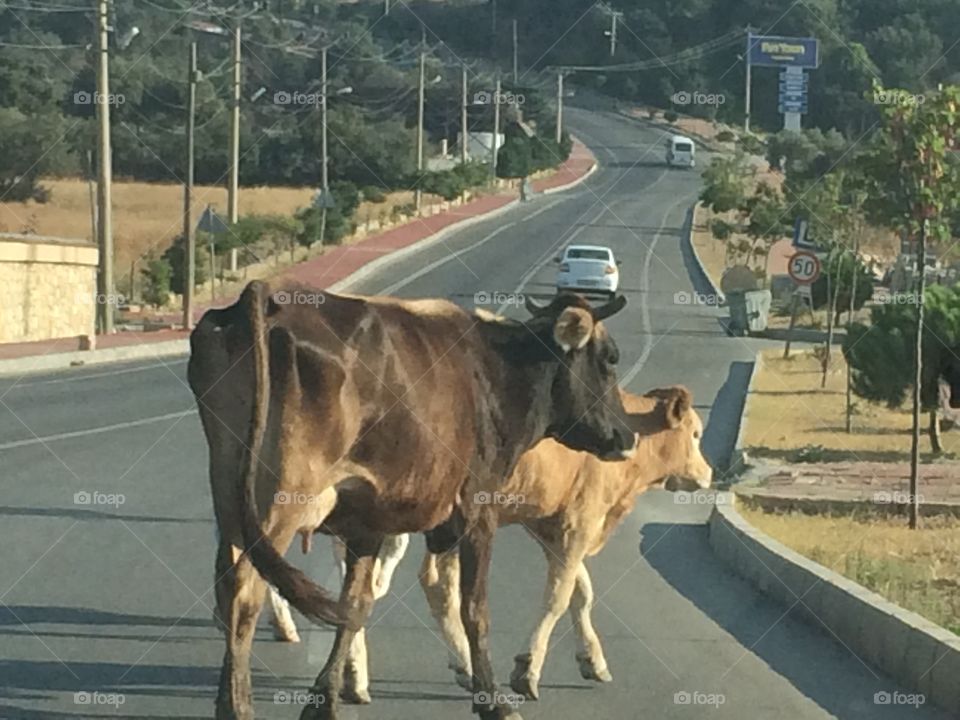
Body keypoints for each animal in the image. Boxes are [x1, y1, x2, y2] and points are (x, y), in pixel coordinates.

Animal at [187, 281, 634, 720]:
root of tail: (266, 294)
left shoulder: (367, 523)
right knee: (246, 590)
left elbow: (355, 605)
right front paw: (493, 700)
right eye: (610, 359)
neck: (497, 373)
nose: (627, 436)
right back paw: (238, 707)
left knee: (228, 584)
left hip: (230, 494)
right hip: (281, 497)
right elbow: (474, 609)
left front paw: (324, 701)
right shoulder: (479, 510)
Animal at [268, 385, 712, 704]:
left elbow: (580, 592)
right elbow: (559, 596)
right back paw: (355, 675)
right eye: (695, 433)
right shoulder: (577, 524)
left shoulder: (546, 524)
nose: (709, 473)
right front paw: (527, 670)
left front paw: (592, 659)